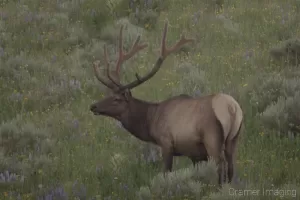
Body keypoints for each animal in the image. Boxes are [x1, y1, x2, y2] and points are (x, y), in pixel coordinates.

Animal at [89, 20, 244, 184]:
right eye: (108, 94)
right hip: (233, 139)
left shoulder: (166, 143)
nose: (93, 106)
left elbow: (166, 172)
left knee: (221, 166)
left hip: (212, 138)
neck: (151, 121)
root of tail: (232, 108)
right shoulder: (194, 153)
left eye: (116, 99)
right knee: (231, 167)